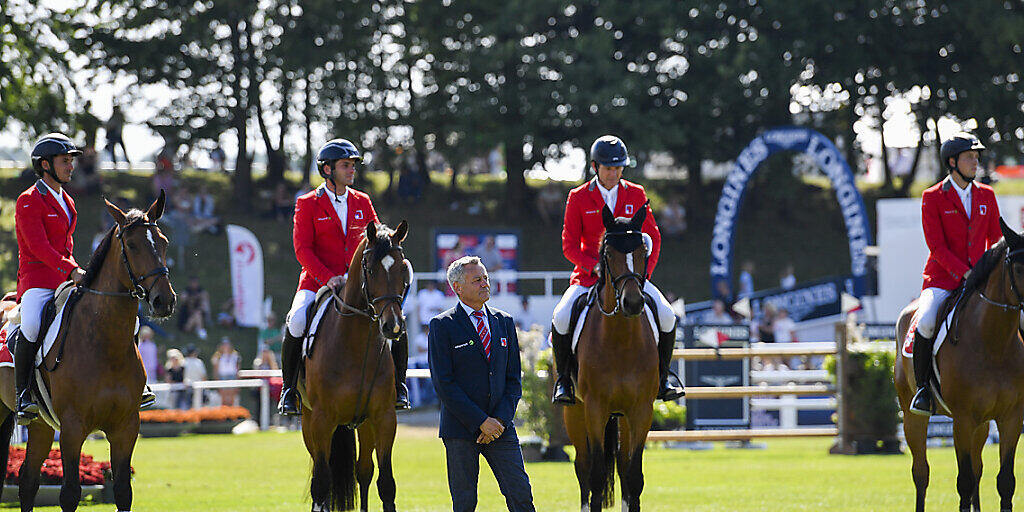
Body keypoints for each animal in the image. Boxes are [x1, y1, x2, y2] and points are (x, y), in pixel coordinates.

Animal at [0, 192, 174, 512]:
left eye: (163, 241)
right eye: (132, 245)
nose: (164, 300)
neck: (106, 344)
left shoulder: (126, 427)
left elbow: (123, 491)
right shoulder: (72, 427)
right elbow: (70, 492)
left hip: (41, 424)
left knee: (28, 480)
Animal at [299, 220, 409, 512]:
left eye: (402, 269)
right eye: (370, 270)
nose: (393, 326)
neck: (357, 346)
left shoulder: (384, 418)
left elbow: (386, 483)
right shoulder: (321, 420)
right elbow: (321, 483)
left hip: (364, 423)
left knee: (364, 471)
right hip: (308, 421)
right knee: (321, 475)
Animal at [565, 205, 659, 512]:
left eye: (642, 250)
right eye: (608, 253)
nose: (633, 303)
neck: (621, 341)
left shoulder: (642, 410)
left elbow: (634, 476)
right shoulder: (595, 409)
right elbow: (595, 477)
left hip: (624, 418)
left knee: (622, 465)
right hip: (574, 412)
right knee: (582, 467)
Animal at [897, 217, 1024, 512]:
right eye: (1019, 268)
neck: (994, 343)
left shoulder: (1011, 418)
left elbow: (1005, 481)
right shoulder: (963, 419)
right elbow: (963, 481)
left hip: (982, 425)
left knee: (978, 469)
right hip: (912, 417)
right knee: (921, 473)